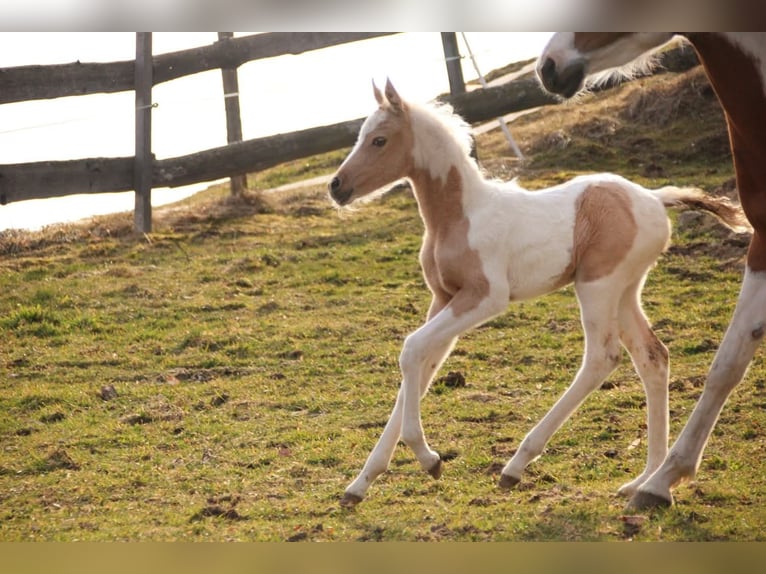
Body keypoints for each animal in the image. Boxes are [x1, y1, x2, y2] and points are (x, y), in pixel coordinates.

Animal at [328, 79, 747, 507]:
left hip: (597, 285)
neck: (460, 215)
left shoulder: (485, 298)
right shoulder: (443, 300)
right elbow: (420, 367)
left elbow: (411, 349)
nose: (336, 187)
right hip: (626, 290)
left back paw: (516, 466)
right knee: (653, 357)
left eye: (379, 140)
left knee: (602, 358)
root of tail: (654, 197)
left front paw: (428, 459)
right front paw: (360, 484)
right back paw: (645, 480)